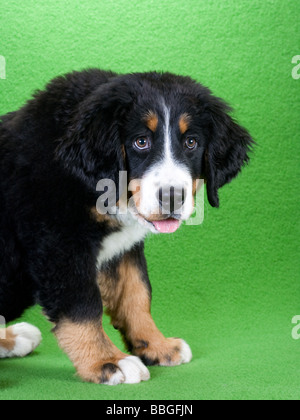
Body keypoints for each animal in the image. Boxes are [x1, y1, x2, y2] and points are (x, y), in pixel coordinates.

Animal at [0, 69, 253, 384]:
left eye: (191, 142)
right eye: (140, 142)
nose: (172, 197)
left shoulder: (123, 246)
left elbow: (136, 294)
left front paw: (156, 345)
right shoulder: (60, 243)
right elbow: (82, 307)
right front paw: (106, 362)